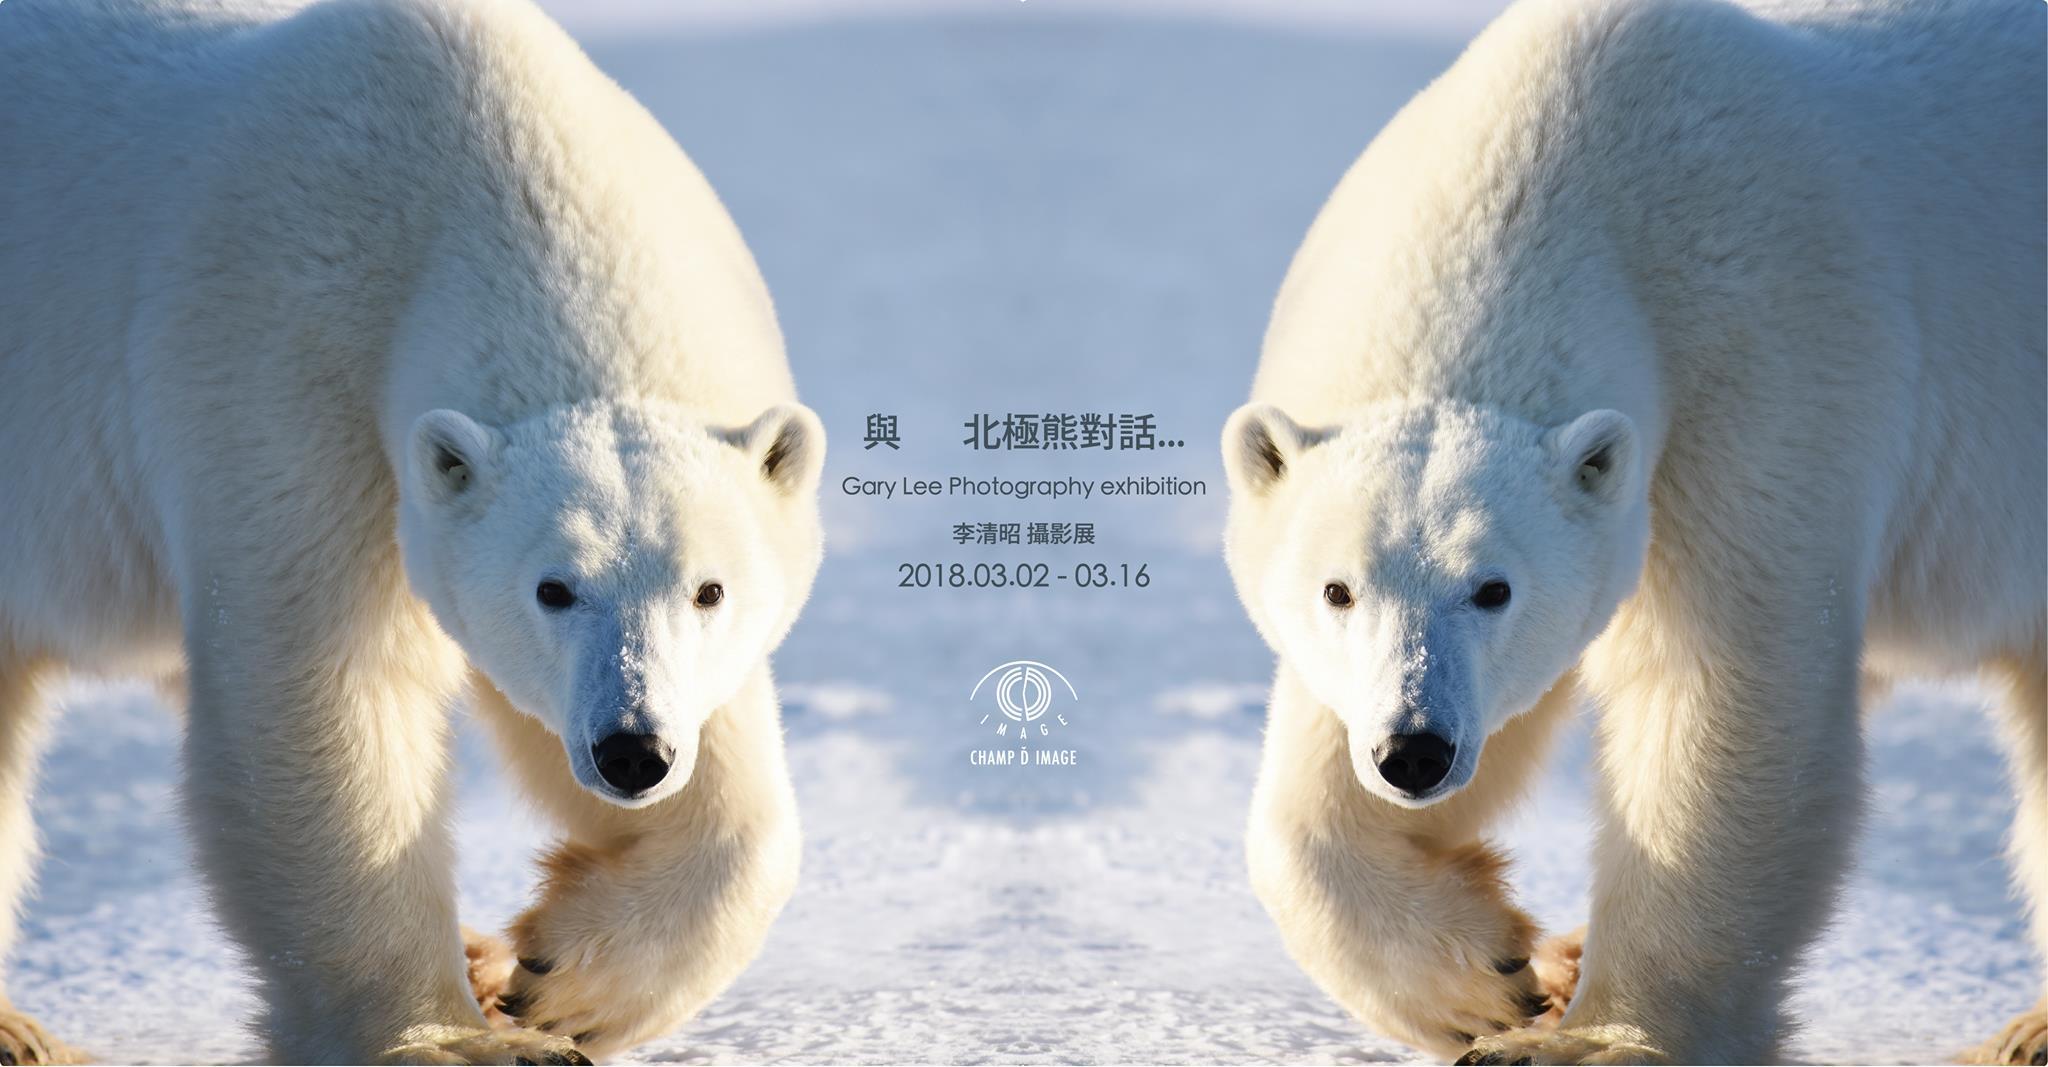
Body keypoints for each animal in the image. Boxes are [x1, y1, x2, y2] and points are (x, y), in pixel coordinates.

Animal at [0, 0, 821, 1062]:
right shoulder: (285, 376)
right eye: (553, 587)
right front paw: (456, 1034)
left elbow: (723, 785)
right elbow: (325, 690)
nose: (633, 752)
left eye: (709, 587)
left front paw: (557, 977)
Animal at [1220, 0, 2045, 1063]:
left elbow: (1720, 691)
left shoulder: (1759, 380)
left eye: (1494, 587)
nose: (1414, 752)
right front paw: (1490, 977)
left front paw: (1590, 1036)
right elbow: (1323, 784)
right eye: (1337, 587)